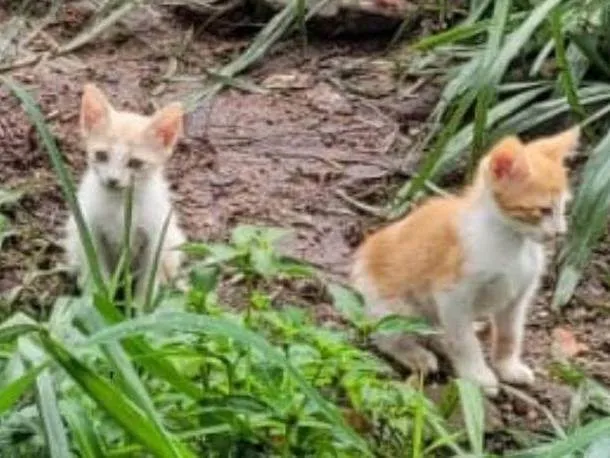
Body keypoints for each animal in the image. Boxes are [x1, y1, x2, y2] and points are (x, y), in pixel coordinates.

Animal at [350, 127, 576, 396]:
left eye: (562, 208)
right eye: (543, 210)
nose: (561, 232)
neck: (512, 242)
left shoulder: (519, 296)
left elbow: (510, 334)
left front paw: (507, 367)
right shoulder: (452, 295)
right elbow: (465, 341)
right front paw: (478, 375)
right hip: (396, 307)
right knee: (385, 334)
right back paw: (416, 354)